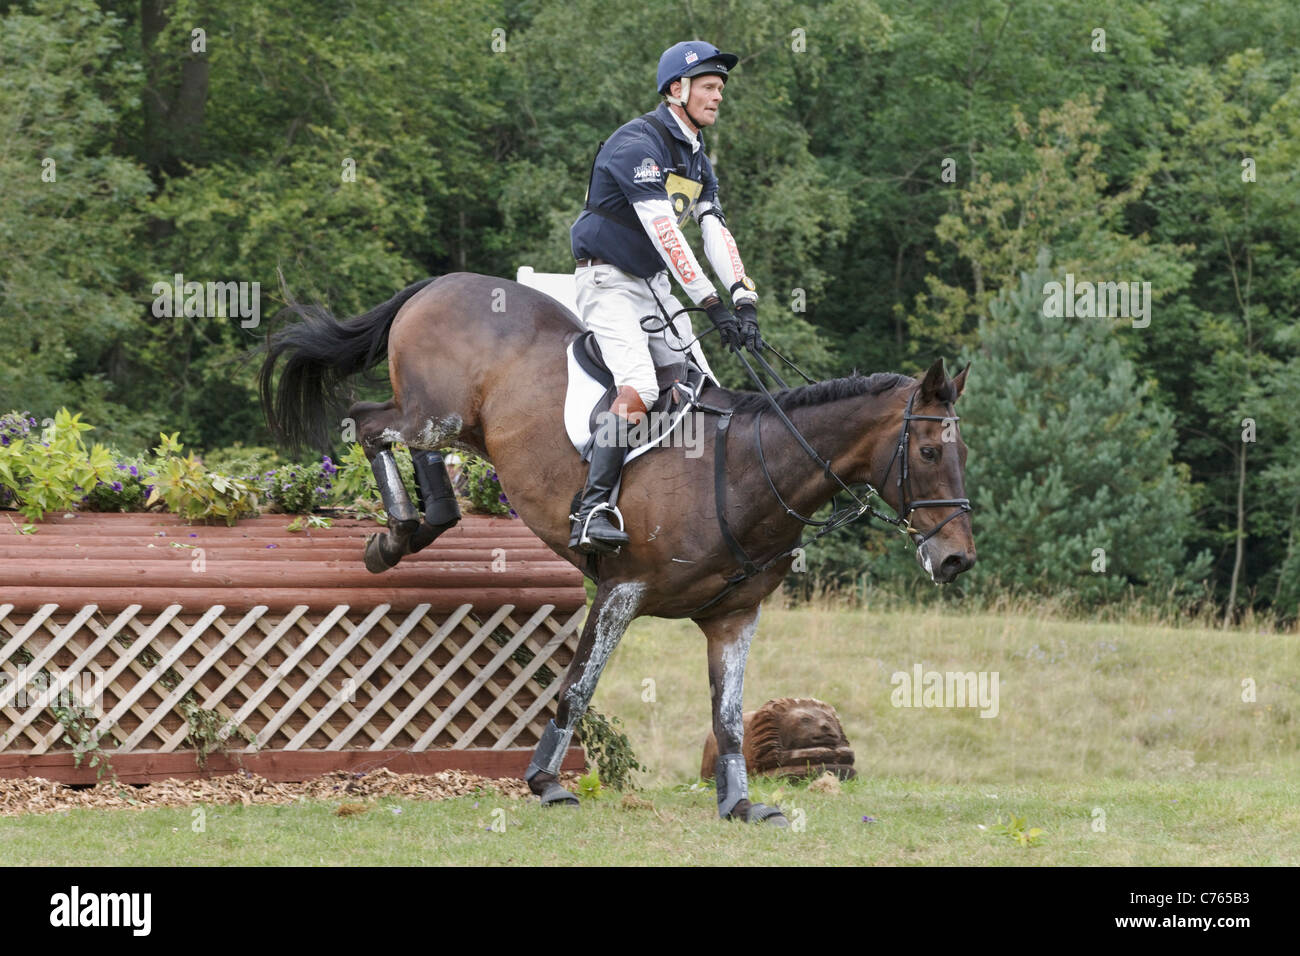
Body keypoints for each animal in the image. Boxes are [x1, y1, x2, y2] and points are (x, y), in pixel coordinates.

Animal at [256, 273, 977, 827]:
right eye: (929, 452)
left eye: (963, 450)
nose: (957, 558)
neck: (746, 468)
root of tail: (440, 282)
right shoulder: (620, 591)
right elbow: (577, 688)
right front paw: (546, 783)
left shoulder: (733, 616)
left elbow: (730, 716)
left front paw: (741, 806)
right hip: (435, 412)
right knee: (370, 421)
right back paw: (400, 532)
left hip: (455, 422)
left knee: (401, 438)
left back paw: (425, 518)